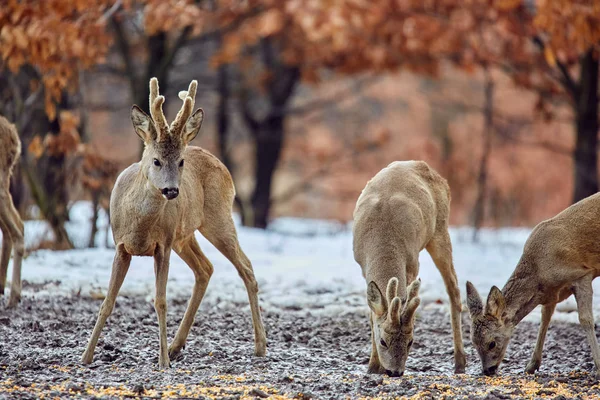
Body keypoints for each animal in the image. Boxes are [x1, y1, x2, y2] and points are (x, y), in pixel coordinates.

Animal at [81, 76, 268, 368]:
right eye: (156, 160)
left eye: (180, 162)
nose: (171, 191)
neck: (140, 227)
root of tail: (223, 166)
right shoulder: (120, 246)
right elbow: (108, 301)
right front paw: (86, 356)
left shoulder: (163, 245)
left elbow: (160, 301)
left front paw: (162, 362)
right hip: (185, 235)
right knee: (205, 268)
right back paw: (177, 346)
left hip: (217, 218)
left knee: (245, 267)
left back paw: (260, 345)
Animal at [354, 159, 466, 376]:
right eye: (383, 341)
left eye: (411, 342)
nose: (395, 372)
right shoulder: (362, 266)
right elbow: (372, 314)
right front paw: (372, 367)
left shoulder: (413, 262)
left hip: (440, 230)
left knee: (454, 289)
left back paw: (460, 363)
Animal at [466, 192, 600, 376]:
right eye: (473, 342)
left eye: (492, 343)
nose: (487, 370)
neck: (539, 271)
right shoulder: (552, 293)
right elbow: (545, 319)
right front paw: (531, 365)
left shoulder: (582, 274)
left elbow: (585, 319)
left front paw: (599, 367)